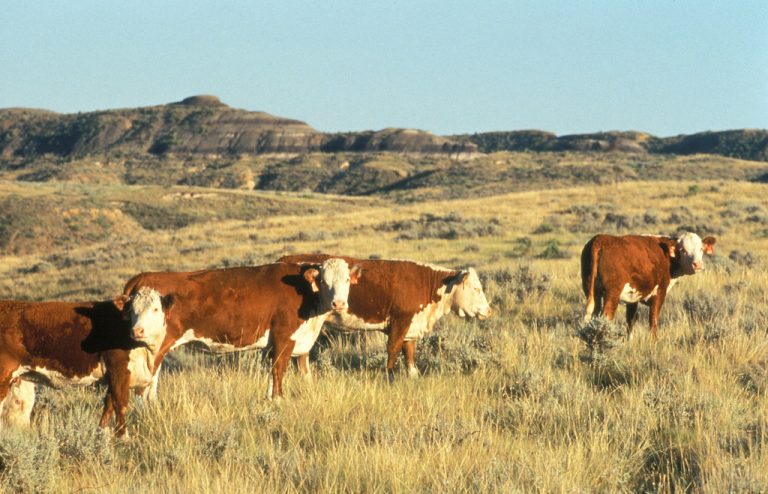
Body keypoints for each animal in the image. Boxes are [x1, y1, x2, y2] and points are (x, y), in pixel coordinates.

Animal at [0, 286, 170, 436]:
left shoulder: (113, 375)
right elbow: (120, 403)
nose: (137, 331)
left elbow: (108, 404)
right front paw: (123, 437)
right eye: (131, 311)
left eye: (155, 309)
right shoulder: (119, 369)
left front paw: (102, 433)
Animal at [121, 256, 362, 400]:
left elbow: (271, 373)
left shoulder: (273, 344)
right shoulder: (284, 337)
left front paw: (269, 400)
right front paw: (279, 400)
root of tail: (143, 276)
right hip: (154, 344)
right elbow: (279, 371)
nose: (338, 303)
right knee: (145, 383)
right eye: (324, 281)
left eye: (347, 280)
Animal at [280, 256, 496, 380]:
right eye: (476, 289)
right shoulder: (400, 321)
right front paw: (390, 376)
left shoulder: (411, 326)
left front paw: (413, 375)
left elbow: (409, 351)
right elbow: (393, 349)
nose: (488, 311)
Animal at [584, 233, 716, 338]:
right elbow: (653, 320)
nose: (697, 264)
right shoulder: (660, 292)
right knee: (606, 316)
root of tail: (601, 239)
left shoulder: (633, 297)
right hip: (612, 293)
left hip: (592, 291)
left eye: (701, 249)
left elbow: (630, 320)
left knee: (592, 314)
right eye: (683, 250)